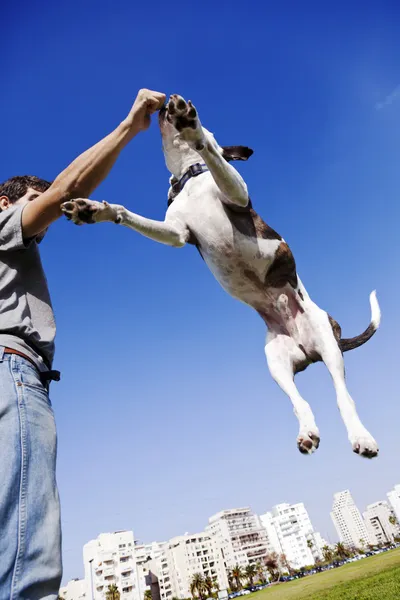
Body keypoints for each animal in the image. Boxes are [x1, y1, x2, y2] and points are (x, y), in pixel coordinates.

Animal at [62, 96, 382, 458]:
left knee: (343, 396)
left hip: (327, 343)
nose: (166, 103)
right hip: (276, 360)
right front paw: (95, 210)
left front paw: (192, 126)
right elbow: (127, 214)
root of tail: (309, 345)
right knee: (299, 402)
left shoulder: (237, 195)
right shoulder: (177, 233)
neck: (190, 178)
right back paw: (307, 433)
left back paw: (362, 437)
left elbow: (214, 155)